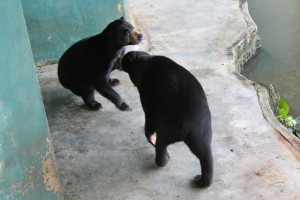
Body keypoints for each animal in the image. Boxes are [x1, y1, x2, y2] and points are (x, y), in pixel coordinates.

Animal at [119, 51, 213, 188]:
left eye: (125, 59)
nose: (118, 60)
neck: (144, 61)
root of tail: (186, 125)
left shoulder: (147, 98)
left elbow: (149, 123)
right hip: (201, 132)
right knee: (205, 154)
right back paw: (202, 181)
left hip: (166, 128)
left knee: (161, 145)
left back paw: (163, 158)